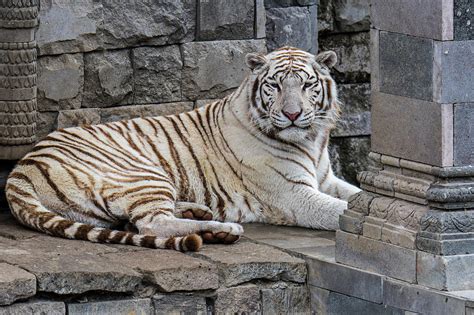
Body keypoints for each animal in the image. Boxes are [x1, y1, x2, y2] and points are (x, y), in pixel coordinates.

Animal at [6, 47, 360, 253]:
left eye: (307, 85)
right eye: (274, 85)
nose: (292, 114)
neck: (311, 140)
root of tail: (22, 167)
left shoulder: (325, 180)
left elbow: (355, 197)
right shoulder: (292, 195)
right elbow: (337, 211)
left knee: (138, 221)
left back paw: (197, 212)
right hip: (142, 173)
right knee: (152, 223)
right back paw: (224, 229)